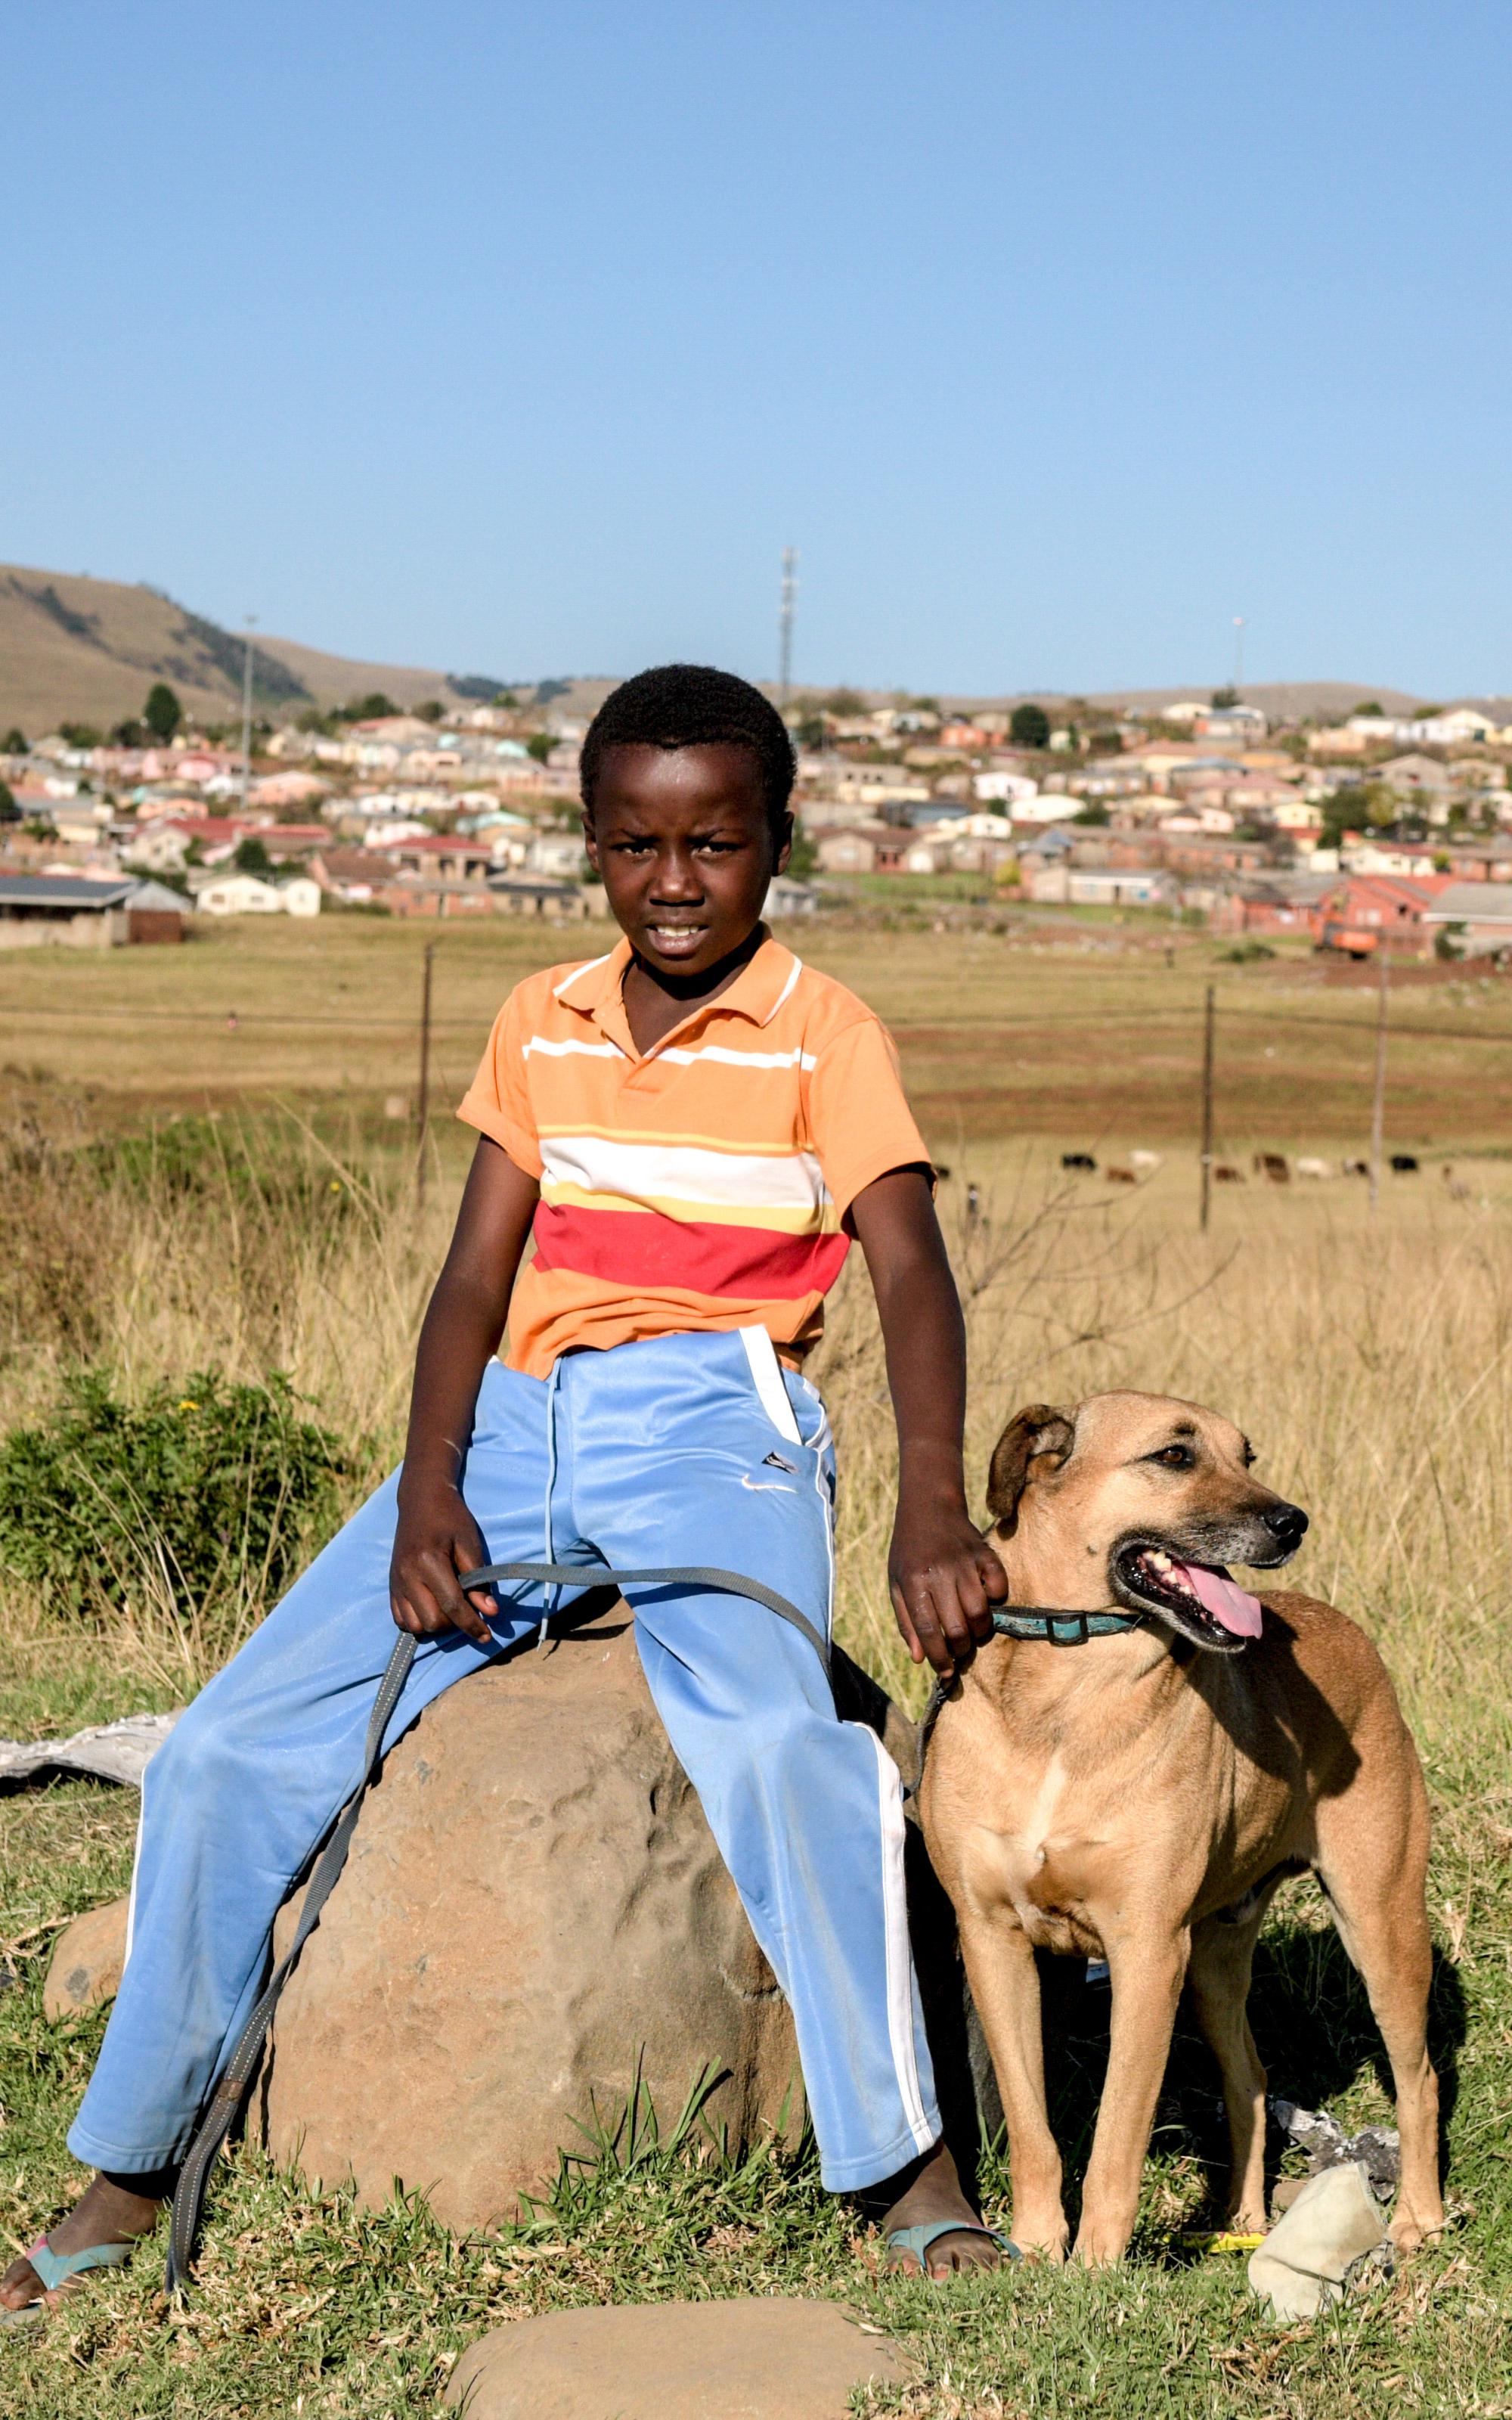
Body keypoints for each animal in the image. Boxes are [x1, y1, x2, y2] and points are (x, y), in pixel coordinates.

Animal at [914, 1394, 1442, 2255]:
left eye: (1246, 1455)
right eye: (1173, 1456)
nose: (1292, 1521)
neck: (1067, 1690)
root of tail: (1350, 1631)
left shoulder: (1145, 1950)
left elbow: (1115, 2139)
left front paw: (1094, 2265)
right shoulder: (993, 1939)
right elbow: (1032, 2129)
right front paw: (1035, 2248)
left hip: (1379, 1924)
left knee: (1418, 2076)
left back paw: (1417, 2219)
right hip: (1215, 1959)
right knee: (1252, 2080)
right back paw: (1243, 2223)